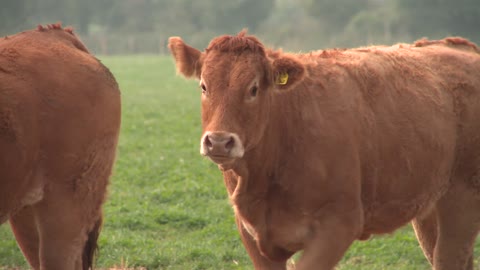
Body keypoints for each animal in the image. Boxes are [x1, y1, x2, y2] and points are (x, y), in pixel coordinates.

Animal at [171, 32, 480, 270]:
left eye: (254, 88)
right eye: (204, 86)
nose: (219, 141)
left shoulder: (338, 226)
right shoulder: (254, 235)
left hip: (462, 201)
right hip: (429, 207)